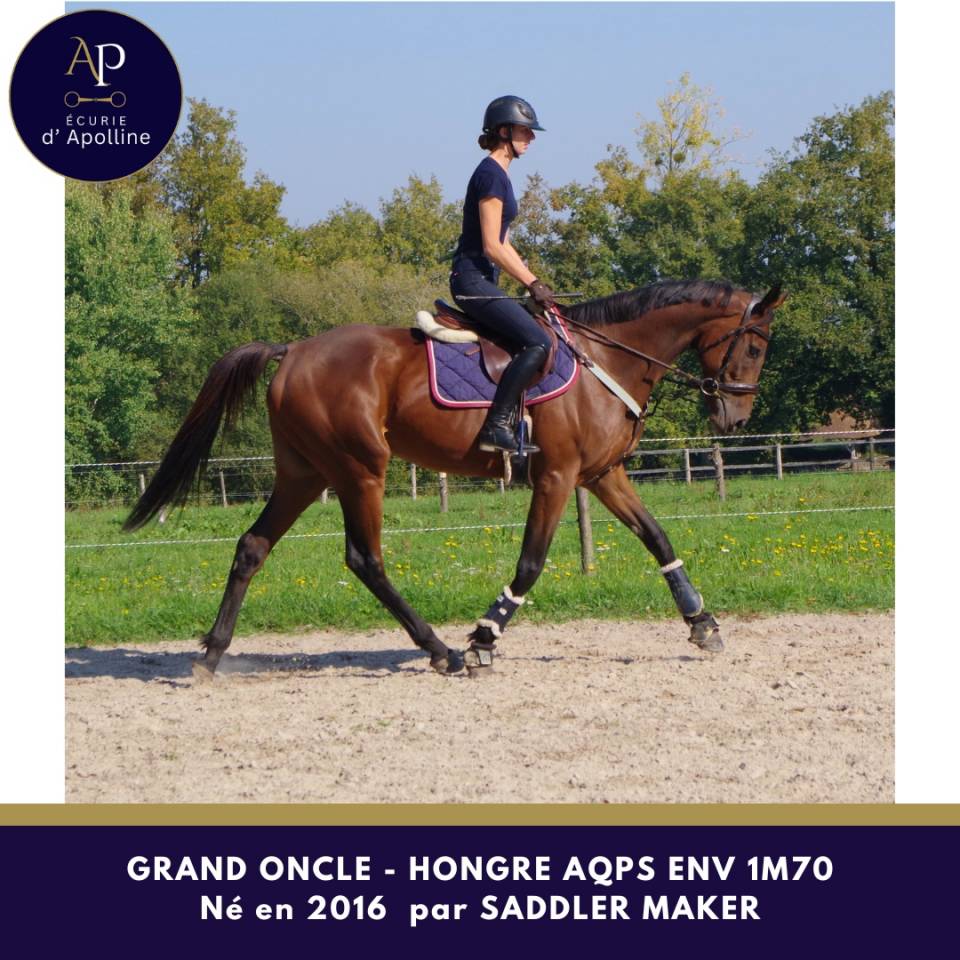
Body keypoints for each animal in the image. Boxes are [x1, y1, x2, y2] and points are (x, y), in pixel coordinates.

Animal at [124, 278, 784, 679]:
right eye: (754, 348)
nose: (735, 417)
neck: (608, 358)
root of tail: (293, 351)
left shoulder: (602, 474)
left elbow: (658, 539)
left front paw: (703, 625)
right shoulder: (557, 477)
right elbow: (531, 563)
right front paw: (484, 638)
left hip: (305, 473)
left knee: (252, 546)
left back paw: (212, 654)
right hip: (360, 470)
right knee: (365, 559)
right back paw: (442, 651)